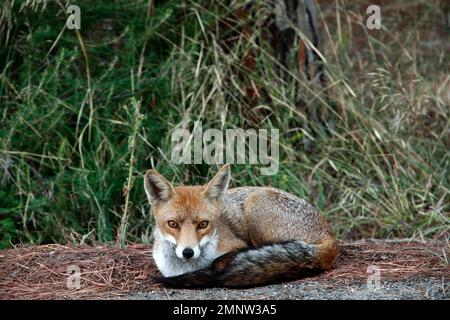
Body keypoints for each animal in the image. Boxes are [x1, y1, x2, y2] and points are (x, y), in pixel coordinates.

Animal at [144, 165, 338, 288]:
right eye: (172, 224)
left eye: (203, 224)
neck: (185, 268)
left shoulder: (238, 245)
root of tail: (330, 237)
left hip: (255, 205)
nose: (188, 252)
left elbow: (222, 261)